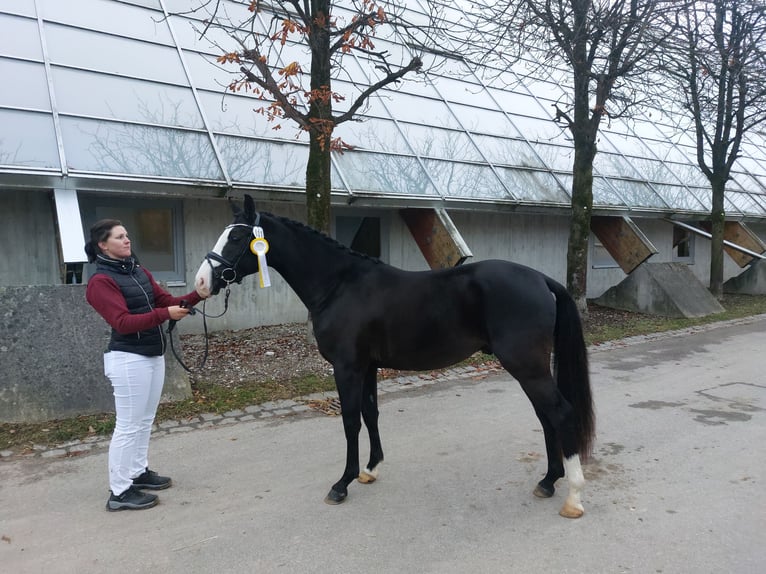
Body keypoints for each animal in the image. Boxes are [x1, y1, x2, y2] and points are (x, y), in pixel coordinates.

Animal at [195, 196, 596, 520]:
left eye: (236, 238)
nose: (201, 282)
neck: (340, 286)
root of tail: (542, 279)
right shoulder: (368, 366)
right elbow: (371, 414)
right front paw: (370, 470)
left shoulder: (347, 368)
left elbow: (350, 422)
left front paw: (342, 484)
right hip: (529, 368)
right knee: (546, 417)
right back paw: (548, 481)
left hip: (527, 366)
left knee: (561, 413)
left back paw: (574, 497)